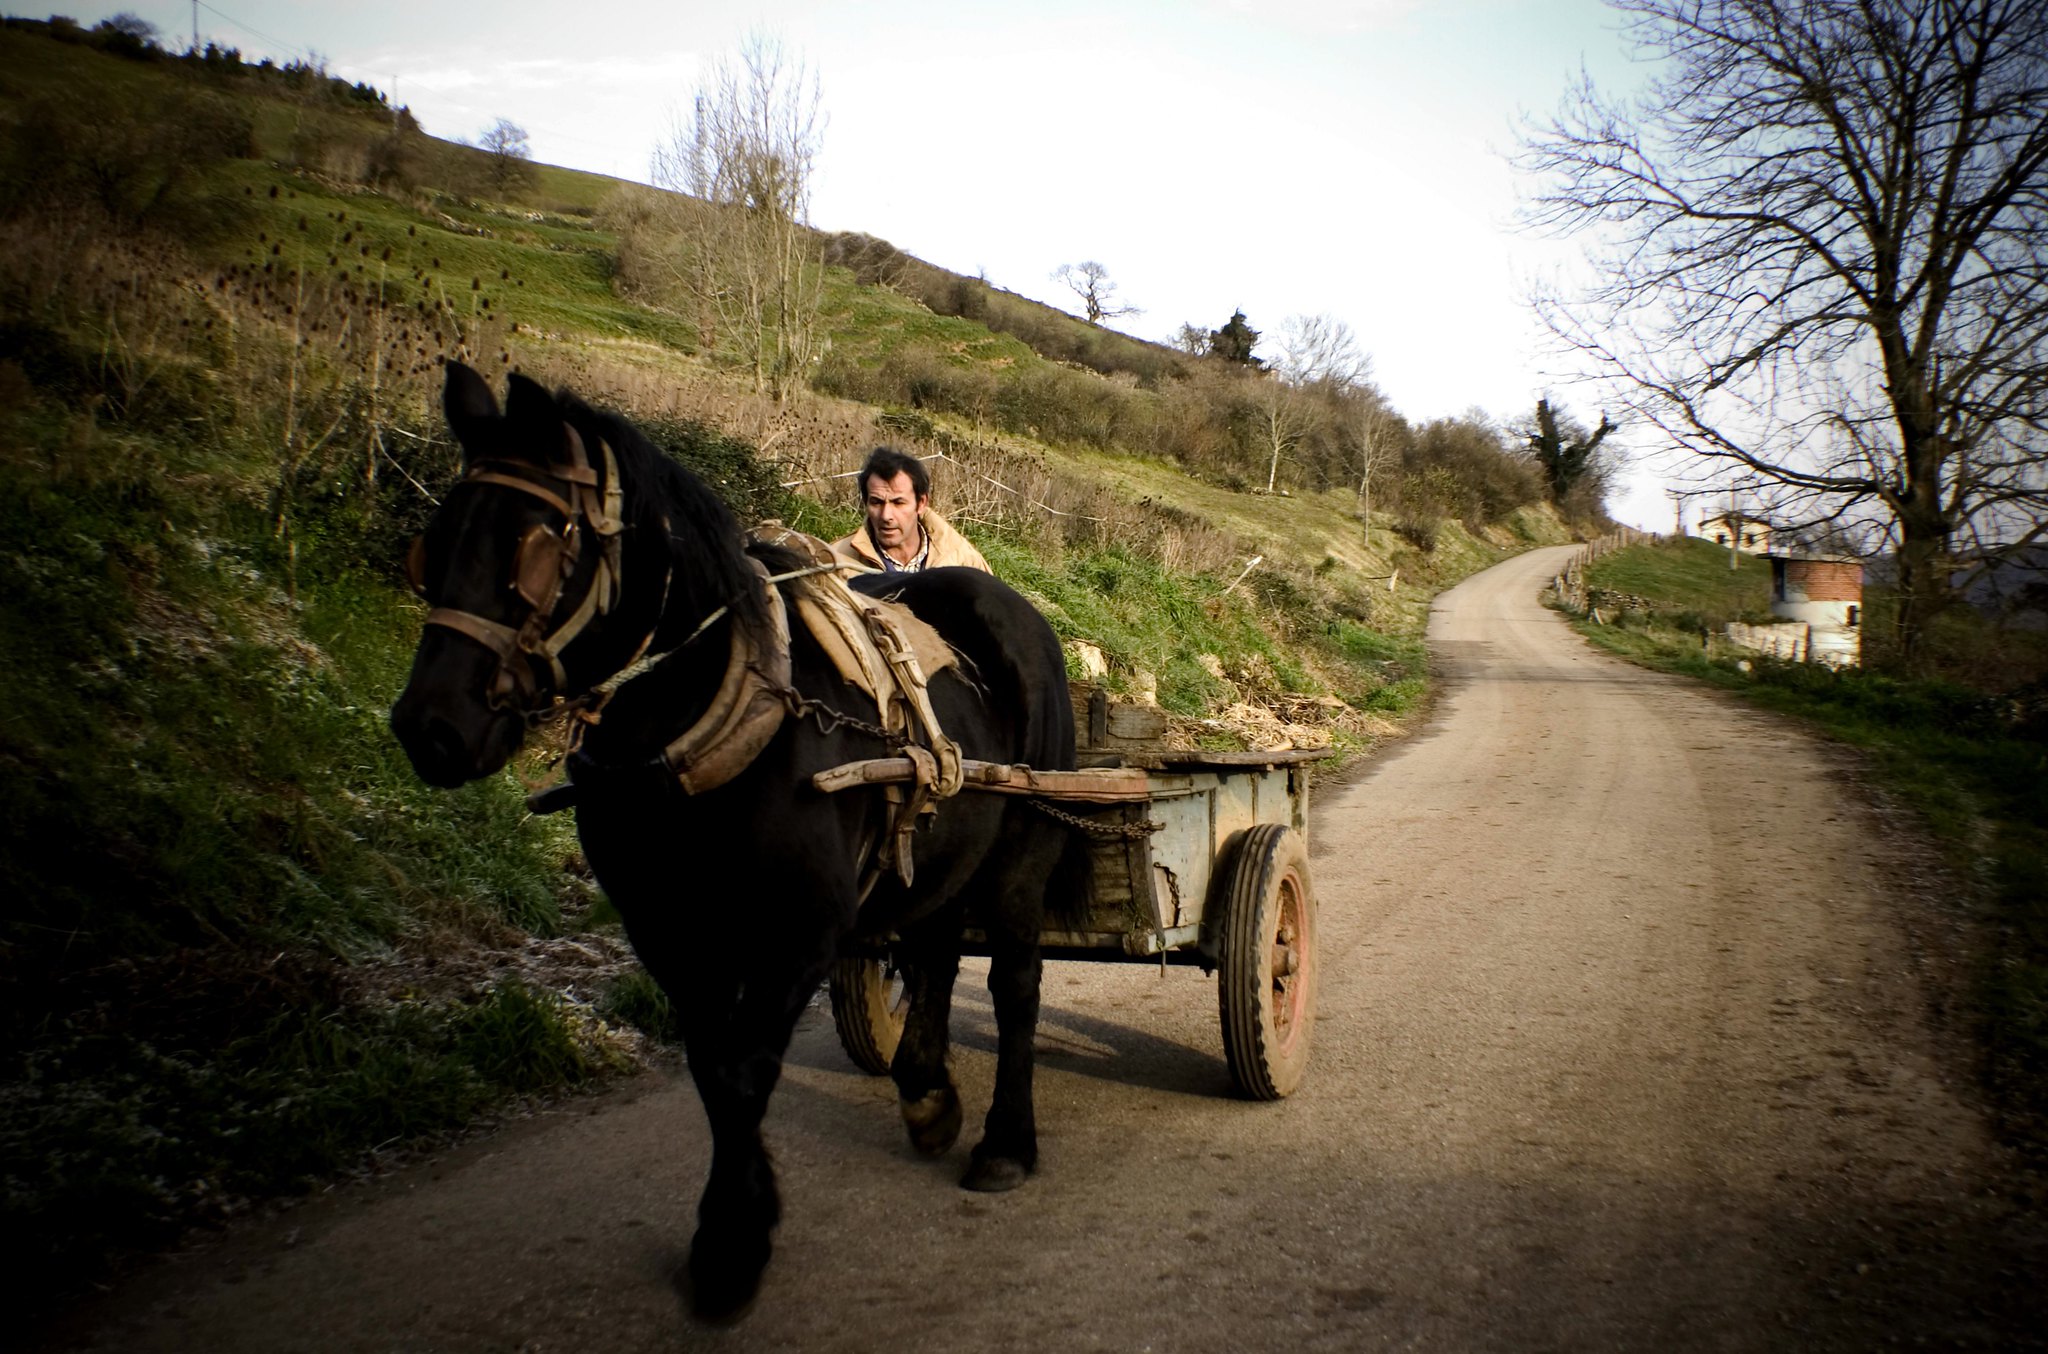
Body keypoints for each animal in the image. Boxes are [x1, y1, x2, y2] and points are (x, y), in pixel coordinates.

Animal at [389, 364, 1081, 1310]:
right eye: (439, 538)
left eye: (540, 543)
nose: (431, 726)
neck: (713, 720)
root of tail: (1018, 609)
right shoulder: (669, 930)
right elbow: (715, 1072)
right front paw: (734, 1223)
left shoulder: (800, 933)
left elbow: (746, 1070)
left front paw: (731, 1243)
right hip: (942, 846)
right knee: (935, 948)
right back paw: (927, 1094)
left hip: (1021, 854)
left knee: (1014, 985)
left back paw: (1007, 1141)